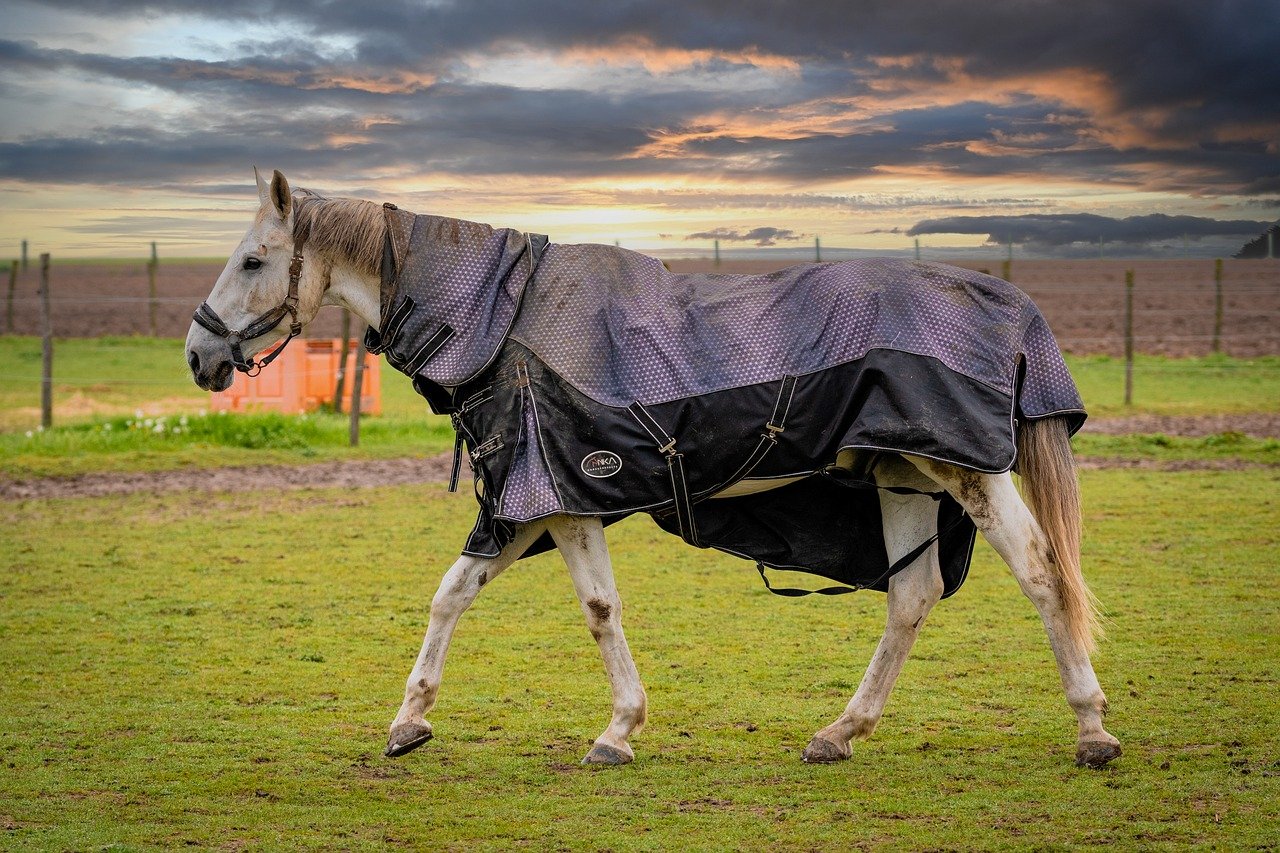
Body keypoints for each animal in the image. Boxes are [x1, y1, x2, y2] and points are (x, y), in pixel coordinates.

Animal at [185, 169, 1121, 769]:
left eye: (254, 260)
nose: (198, 354)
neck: (500, 317)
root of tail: (1005, 301)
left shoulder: (559, 499)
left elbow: (598, 608)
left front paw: (618, 730)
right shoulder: (525, 503)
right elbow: (452, 592)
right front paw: (409, 719)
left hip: (964, 470)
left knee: (1045, 575)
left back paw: (1092, 730)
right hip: (901, 475)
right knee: (913, 595)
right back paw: (839, 731)